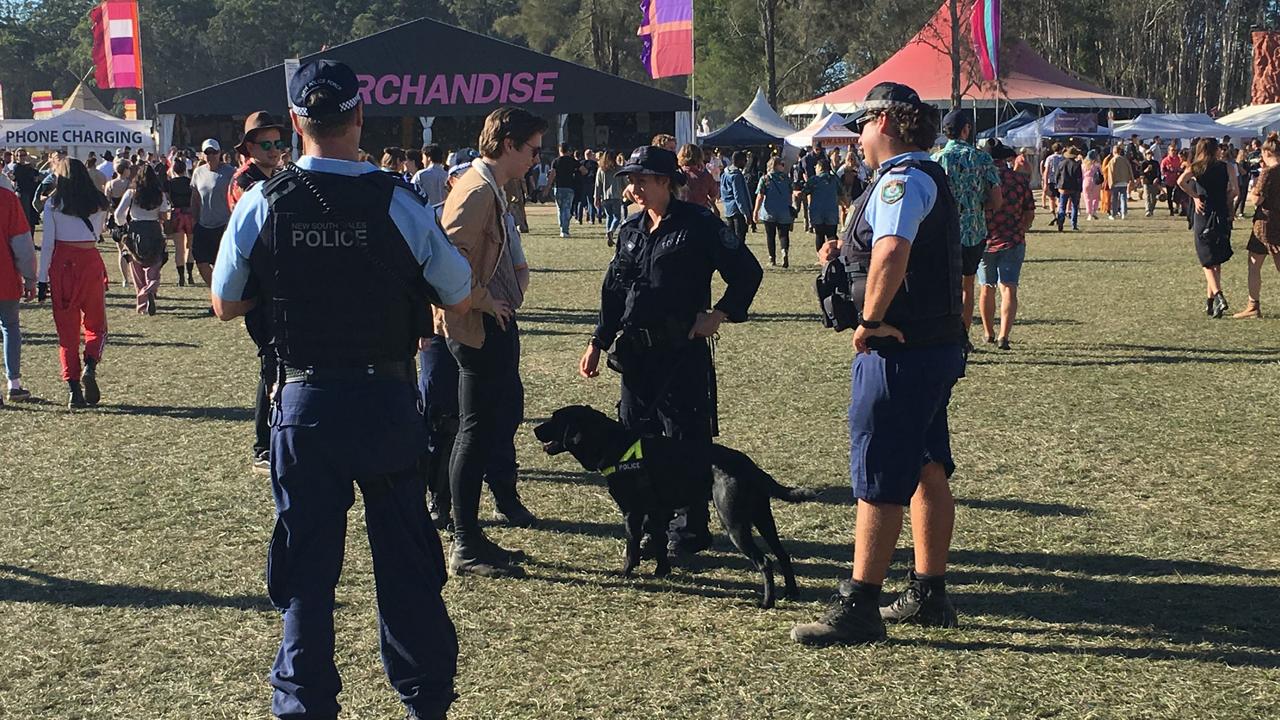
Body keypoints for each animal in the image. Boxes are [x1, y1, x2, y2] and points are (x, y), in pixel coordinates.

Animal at [532, 404, 814, 604]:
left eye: (555, 419)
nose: (534, 430)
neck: (614, 444)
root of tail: (750, 466)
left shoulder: (632, 513)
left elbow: (632, 548)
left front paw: (625, 573)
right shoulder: (656, 514)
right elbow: (658, 545)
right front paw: (662, 572)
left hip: (734, 522)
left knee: (765, 561)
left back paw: (767, 602)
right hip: (763, 518)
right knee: (782, 555)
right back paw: (791, 593)